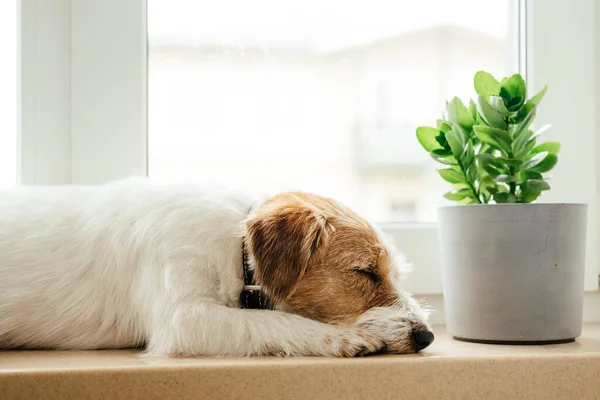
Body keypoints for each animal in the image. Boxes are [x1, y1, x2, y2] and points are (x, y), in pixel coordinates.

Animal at [0, 178, 434, 356]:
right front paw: (342, 338)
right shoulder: (185, 318)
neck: (234, 246)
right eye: (366, 272)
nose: (427, 336)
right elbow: (269, 322)